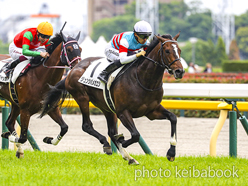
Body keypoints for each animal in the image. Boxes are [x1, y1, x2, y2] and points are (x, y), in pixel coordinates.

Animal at [40, 33, 184, 164]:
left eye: (179, 50)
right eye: (167, 51)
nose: (180, 71)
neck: (143, 80)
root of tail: (73, 69)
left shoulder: (151, 111)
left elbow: (173, 118)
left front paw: (171, 153)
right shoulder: (123, 112)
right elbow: (135, 135)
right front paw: (123, 141)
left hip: (107, 107)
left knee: (111, 131)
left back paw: (129, 158)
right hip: (82, 98)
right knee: (87, 126)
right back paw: (108, 145)